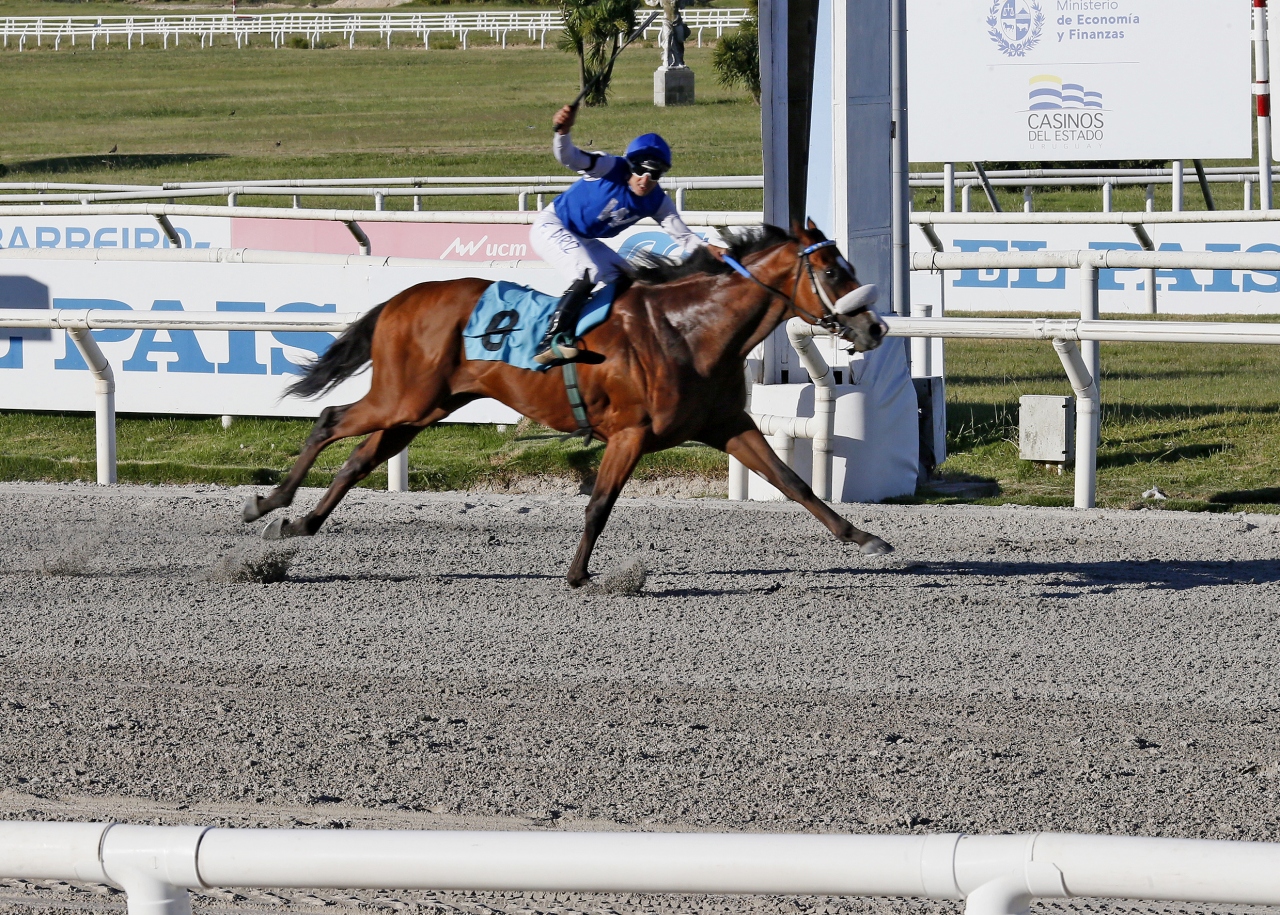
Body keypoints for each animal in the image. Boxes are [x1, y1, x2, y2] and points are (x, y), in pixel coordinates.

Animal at [242, 219, 895, 586]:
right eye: (832, 270)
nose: (875, 328)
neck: (689, 328)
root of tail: (400, 299)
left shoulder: (727, 423)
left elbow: (795, 482)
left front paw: (865, 537)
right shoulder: (631, 433)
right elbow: (599, 504)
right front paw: (579, 574)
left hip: (421, 409)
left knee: (358, 460)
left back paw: (298, 522)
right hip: (401, 398)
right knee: (329, 421)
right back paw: (267, 503)